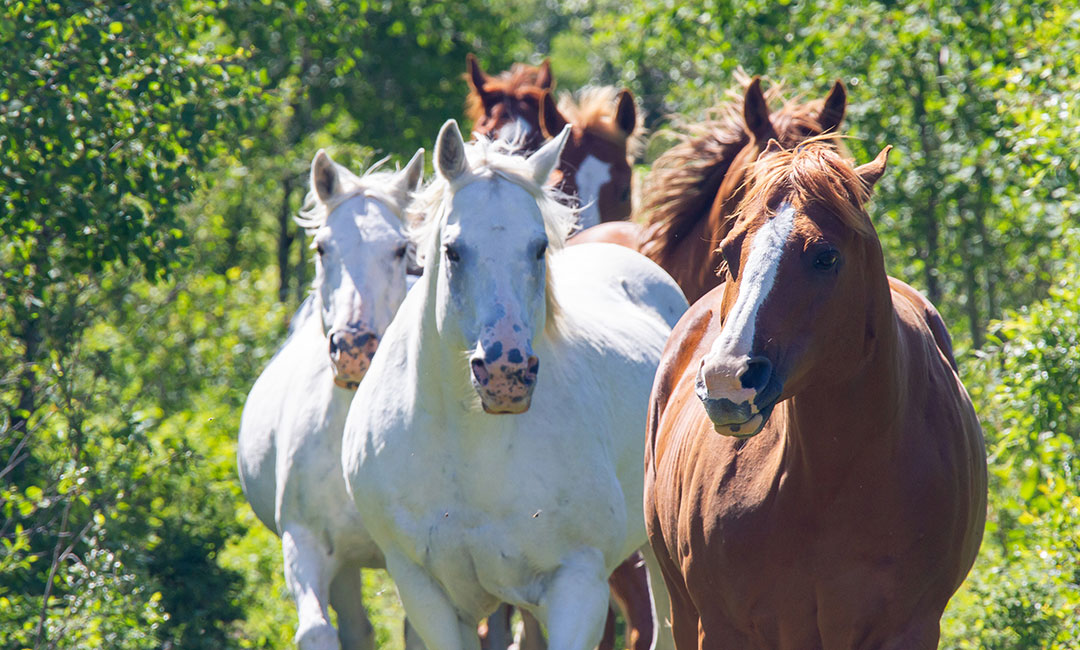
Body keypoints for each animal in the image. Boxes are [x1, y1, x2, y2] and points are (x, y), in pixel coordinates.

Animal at [341, 122, 686, 647]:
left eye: (539, 247)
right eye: (453, 251)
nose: (506, 374)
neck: (471, 448)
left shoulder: (577, 586)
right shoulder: (427, 595)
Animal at [639, 139, 989, 643]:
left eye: (825, 257)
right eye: (728, 250)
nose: (727, 378)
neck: (829, 483)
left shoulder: (911, 627)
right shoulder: (722, 627)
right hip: (683, 612)